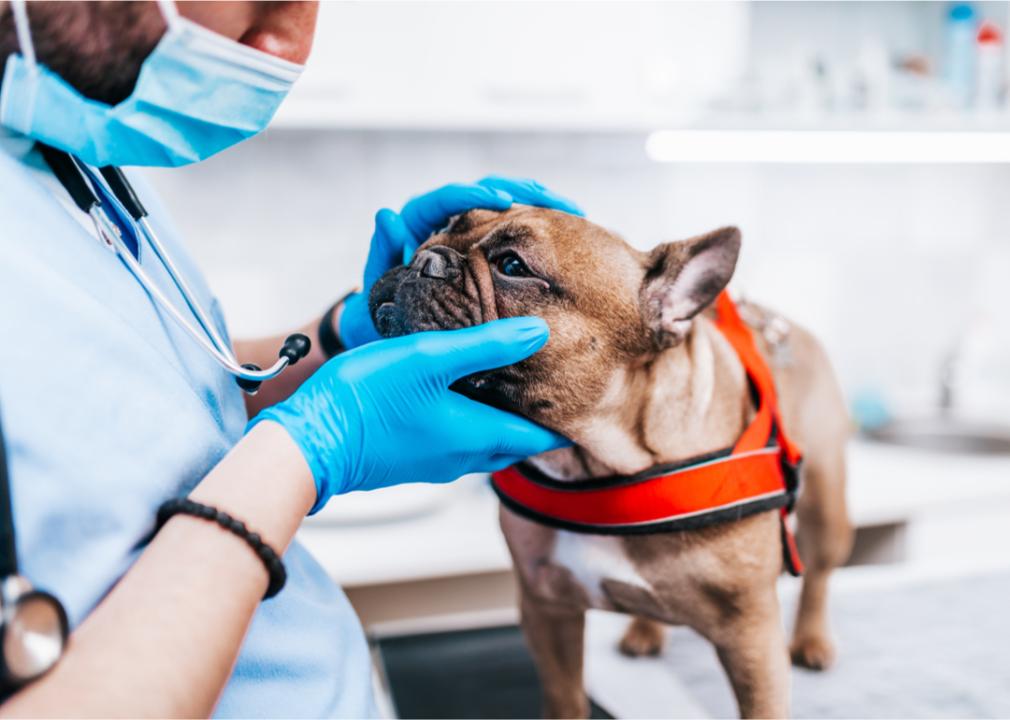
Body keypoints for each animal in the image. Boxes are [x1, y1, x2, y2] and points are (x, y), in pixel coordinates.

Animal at [371, 204, 852, 714]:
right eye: (443, 227)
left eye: (513, 266)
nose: (425, 257)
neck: (598, 463)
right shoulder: (547, 609)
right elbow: (564, 697)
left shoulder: (750, 636)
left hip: (826, 505)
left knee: (819, 573)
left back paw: (813, 641)